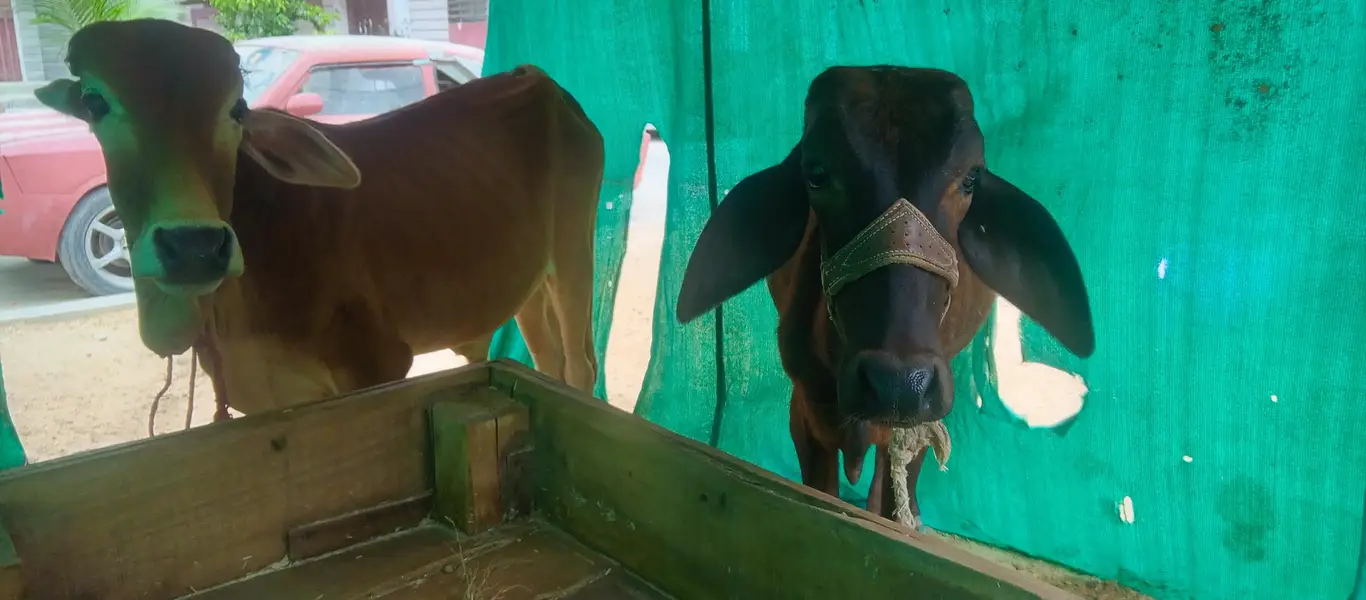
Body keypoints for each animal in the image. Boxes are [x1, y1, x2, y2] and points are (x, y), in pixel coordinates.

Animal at [34, 19, 603, 416]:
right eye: (94, 101)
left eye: (236, 108)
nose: (194, 247)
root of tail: (542, 83)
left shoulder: (376, 364)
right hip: (526, 285)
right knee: (548, 361)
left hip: (574, 255)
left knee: (580, 365)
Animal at [676, 66, 1095, 525]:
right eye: (816, 173)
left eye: (970, 178)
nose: (897, 383)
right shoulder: (805, 416)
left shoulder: (920, 422)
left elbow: (890, 501)